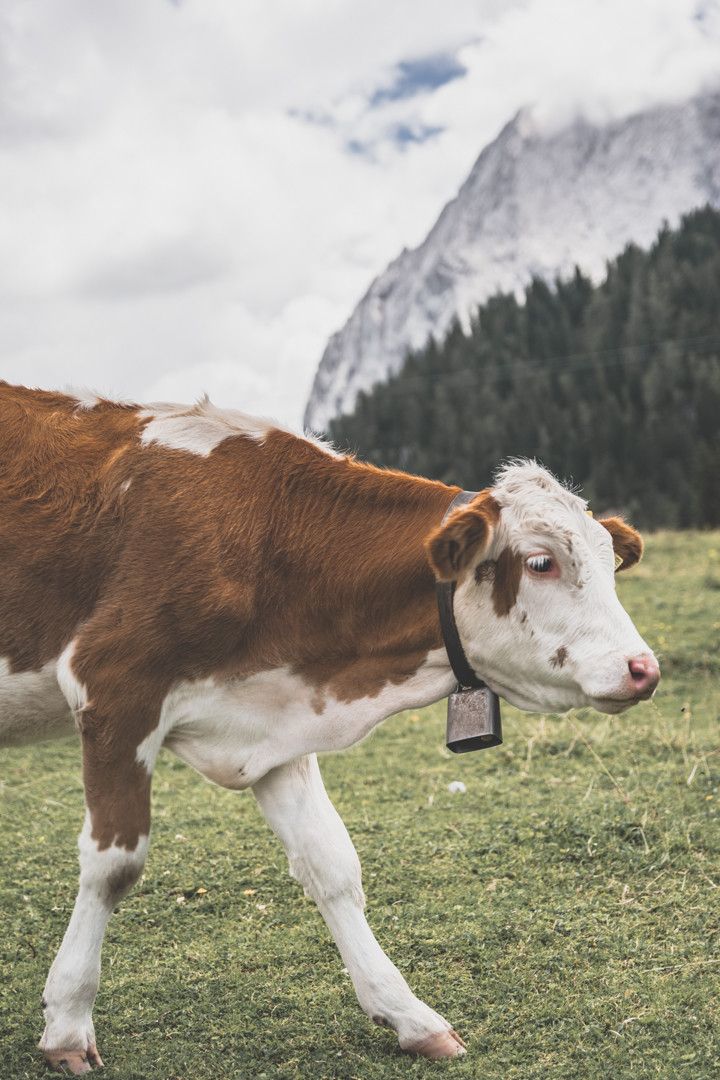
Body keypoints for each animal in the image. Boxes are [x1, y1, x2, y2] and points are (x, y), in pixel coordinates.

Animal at [0, 382, 660, 1071]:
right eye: (540, 562)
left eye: (609, 563)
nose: (643, 667)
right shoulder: (114, 687)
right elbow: (114, 865)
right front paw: (67, 1024)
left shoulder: (275, 721)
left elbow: (332, 863)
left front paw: (409, 1015)